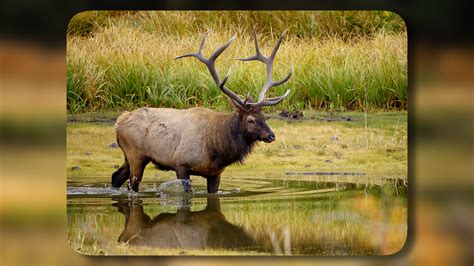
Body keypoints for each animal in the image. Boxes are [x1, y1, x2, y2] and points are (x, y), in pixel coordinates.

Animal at [112, 29, 292, 193]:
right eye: (251, 120)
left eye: (264, 117)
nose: (271, 135)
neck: (217, 148)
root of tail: (119, 123)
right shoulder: (181, 164)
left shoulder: (216, 173)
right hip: (135, 154)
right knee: (132, 184)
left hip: (130, 155)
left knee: (116, 177)